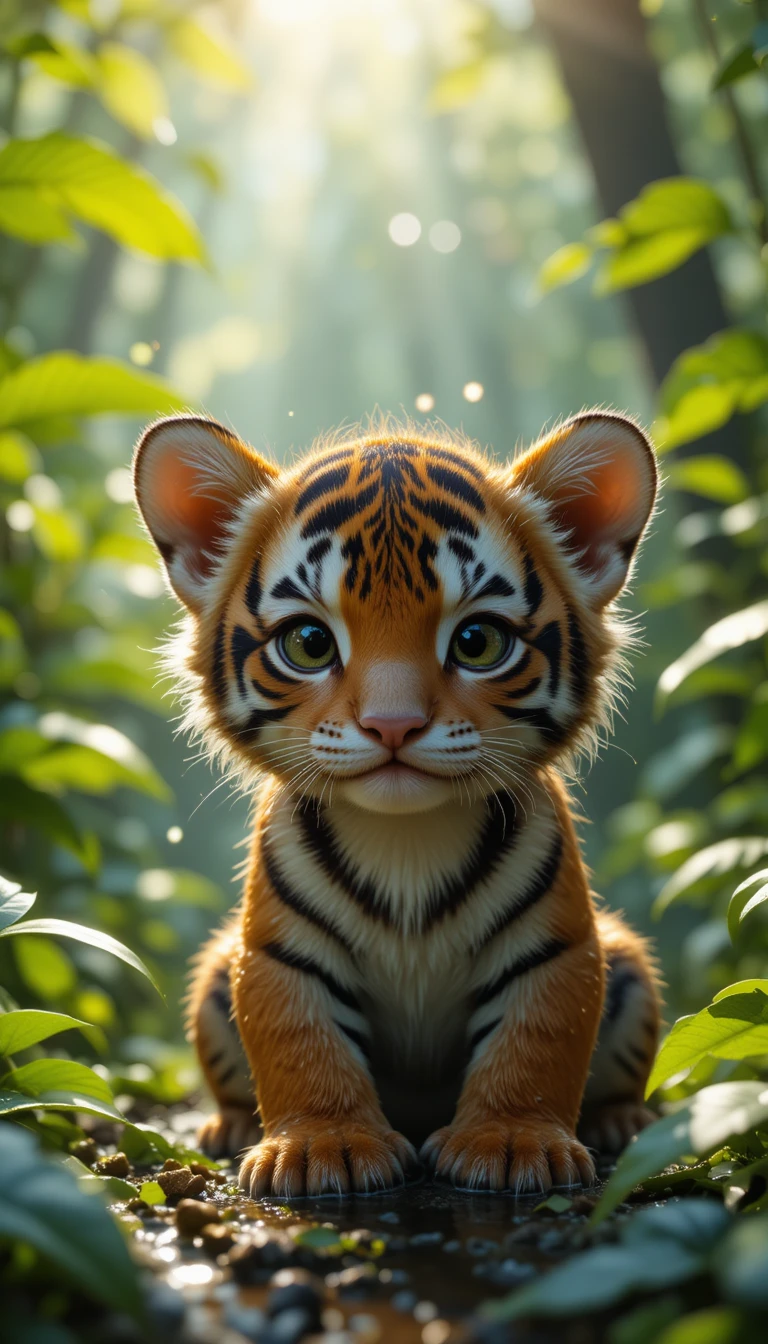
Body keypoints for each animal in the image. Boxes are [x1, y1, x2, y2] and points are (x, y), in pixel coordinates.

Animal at [133, 409, 661, 1197]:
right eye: (309, 642)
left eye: (477, 641)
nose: (392, 724)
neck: (406, 842)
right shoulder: (276, 952)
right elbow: (301, 1043)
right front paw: (322, 1147)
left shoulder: (557, 948)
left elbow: (535, 1042)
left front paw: (512, 1141)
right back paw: (227, 1127)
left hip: (627, 962)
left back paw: (621, 1121)